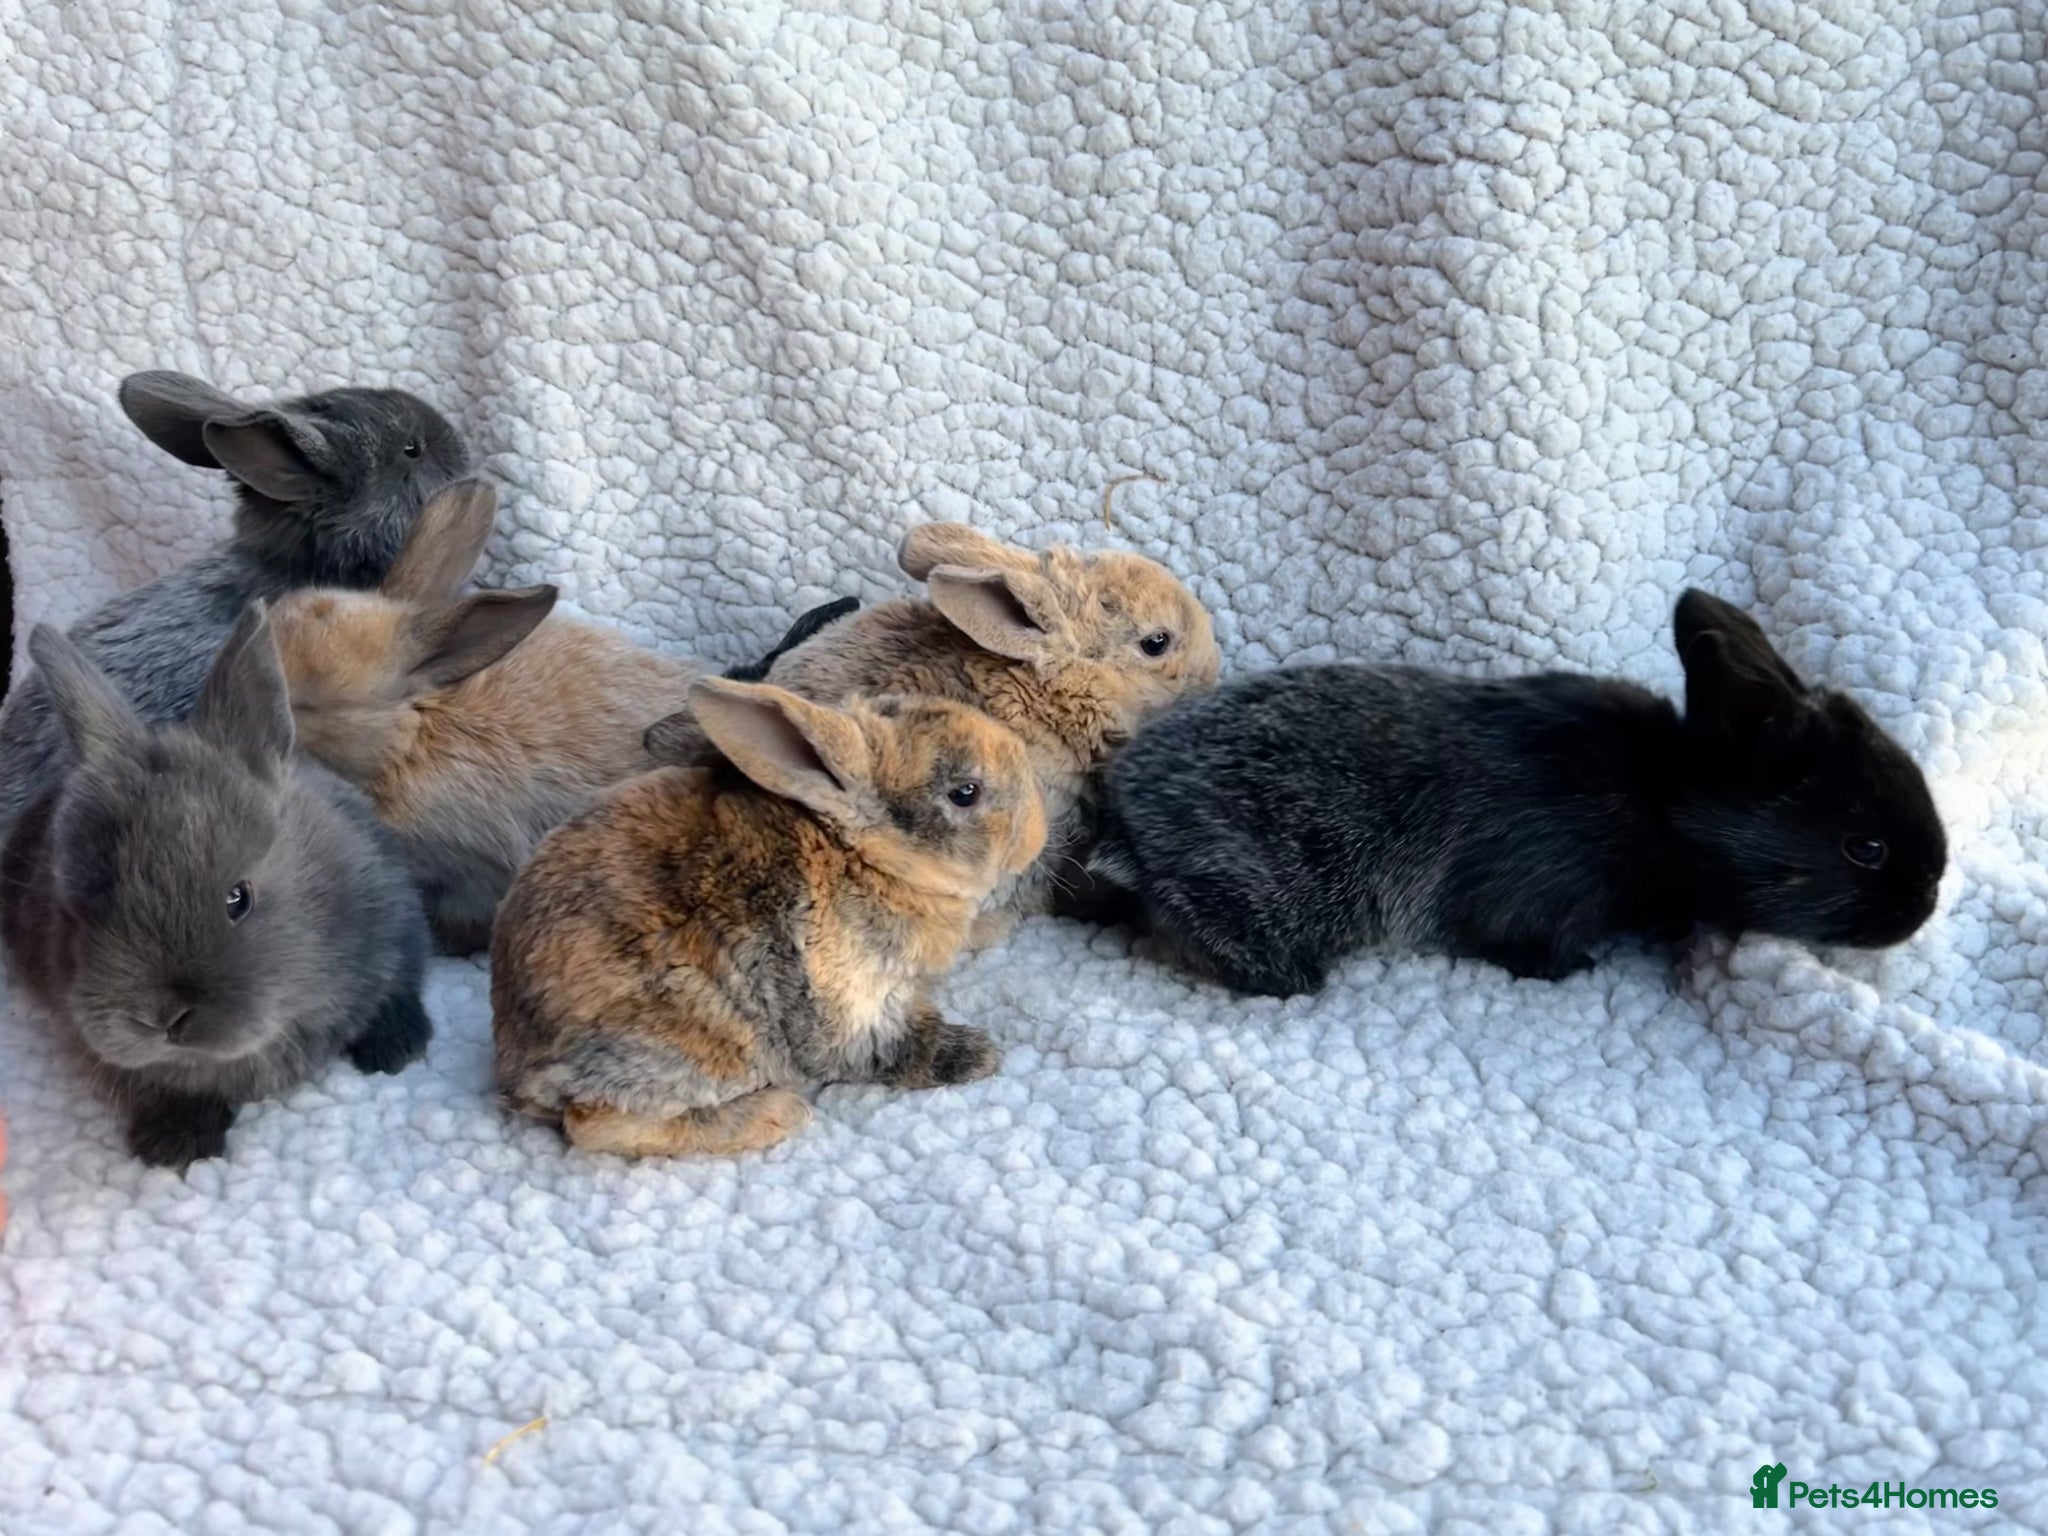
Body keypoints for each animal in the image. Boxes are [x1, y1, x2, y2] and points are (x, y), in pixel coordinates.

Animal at [0, 604, 434, 1169]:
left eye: (238, 898)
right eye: (75, 915)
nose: (160, 1019)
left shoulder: (397, 920)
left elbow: (397, 986)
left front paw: (398, 1046)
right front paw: (174, 1143)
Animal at [493, 678, 1048, 1158]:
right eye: (965, 792)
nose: (1038, 833)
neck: (865, 856)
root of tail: (518, 1068)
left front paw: (999, 923)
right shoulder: (849, 1003)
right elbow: (896, 1048)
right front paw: (979, 1054)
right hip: (696, 1048)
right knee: (595, 1124)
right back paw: (776, 1113)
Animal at [1072, 590, 1949, 997]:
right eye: (1865, 848)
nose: (1926, 905)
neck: (1659, 796)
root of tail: (1131, 824)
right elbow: (1529, 949)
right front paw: (1580, 970)